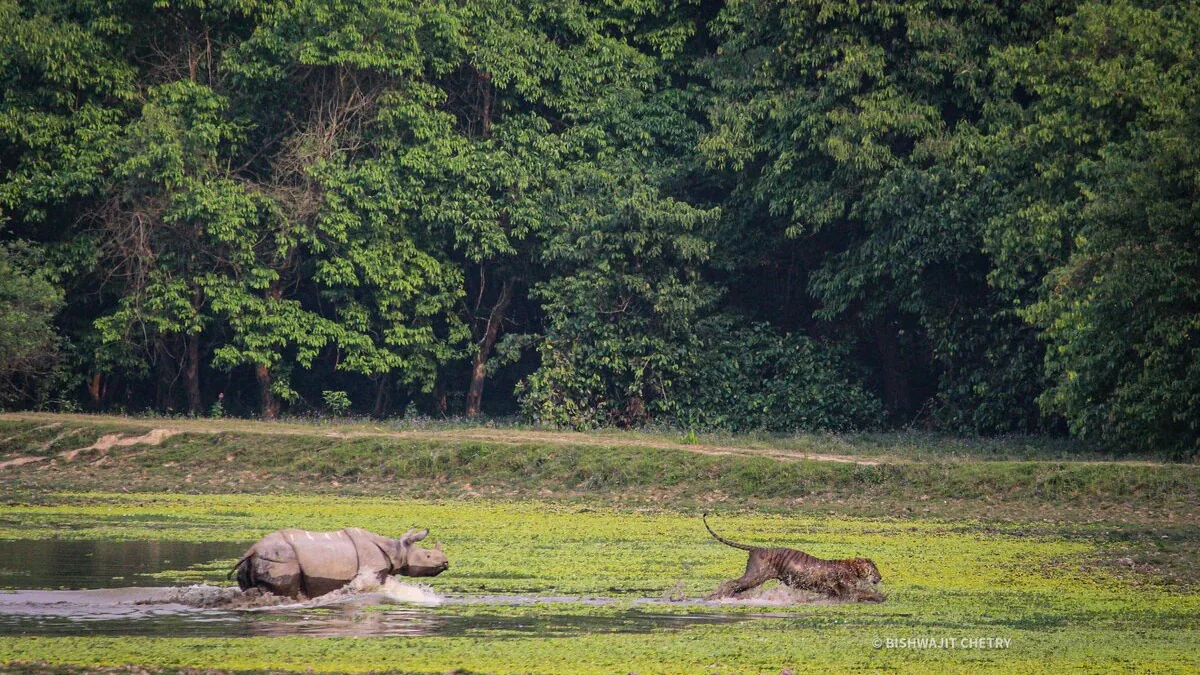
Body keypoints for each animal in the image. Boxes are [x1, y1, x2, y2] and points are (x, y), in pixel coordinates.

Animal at [704, 514, 884, 602]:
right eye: (873, 567)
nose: (880, 577)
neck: (851, 568)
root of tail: (757, 548)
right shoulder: (848, 591)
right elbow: (866, 592)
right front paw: (881, 598)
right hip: (755, 576)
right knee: (731, 583)